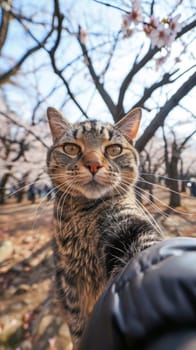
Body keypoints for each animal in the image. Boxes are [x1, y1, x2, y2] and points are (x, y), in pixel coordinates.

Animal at [46, 107, 162, 350]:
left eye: (114, 149)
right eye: (71, 148)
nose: (93, 164)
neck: (84, 215)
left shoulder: (125, 223)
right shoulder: (69, 285)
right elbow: (77, 326)